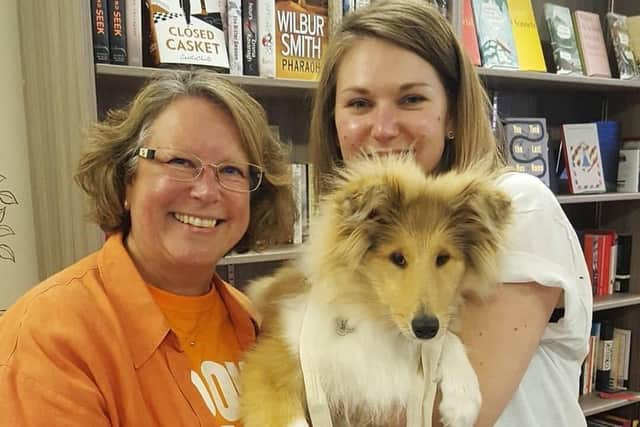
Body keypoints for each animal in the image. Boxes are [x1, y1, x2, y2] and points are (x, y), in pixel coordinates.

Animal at [240, 155, 516, 427]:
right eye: (397, 258)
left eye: (443, 258)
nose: (425, 327)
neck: (372, 319)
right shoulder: (269, 366)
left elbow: (445, 338)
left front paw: (463, 399)